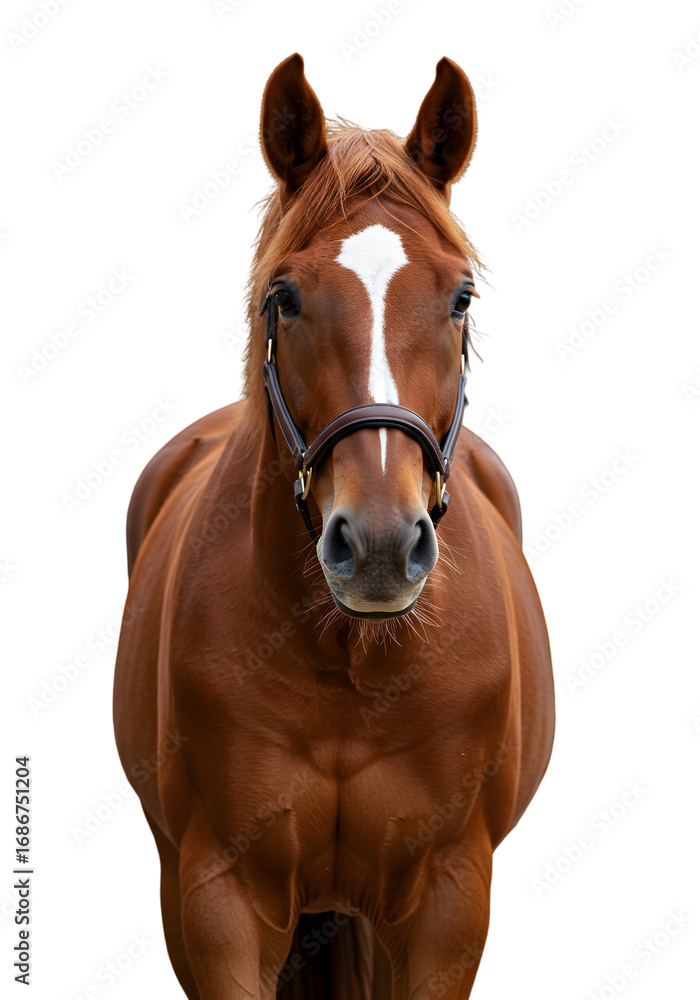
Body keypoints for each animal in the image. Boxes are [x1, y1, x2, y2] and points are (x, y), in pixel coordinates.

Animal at [114, 53, 555, 999]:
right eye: (285, 296)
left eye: (460, 297)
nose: (381, 546)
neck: (350, 662)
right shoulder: (216, 901)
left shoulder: (446, 902)